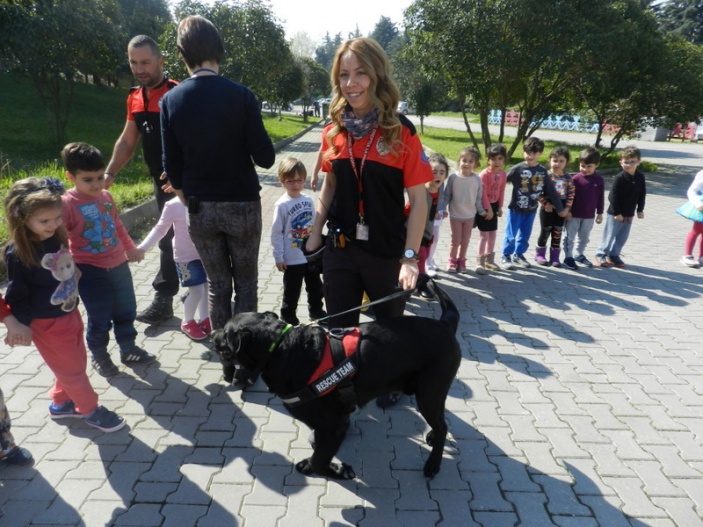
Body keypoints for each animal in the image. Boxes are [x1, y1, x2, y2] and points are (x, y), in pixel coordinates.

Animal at [210, 278, 462, 480]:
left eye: (226, 330)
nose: (212, 334)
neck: (281, 348)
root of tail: (444, 323)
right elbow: (318, 450)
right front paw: (316, 463)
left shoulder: (335, 425)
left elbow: (320, 460)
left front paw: (338, 471)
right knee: (441, 422)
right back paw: (431, 436)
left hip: (429, 392)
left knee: (442, 426)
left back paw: (433, 464)